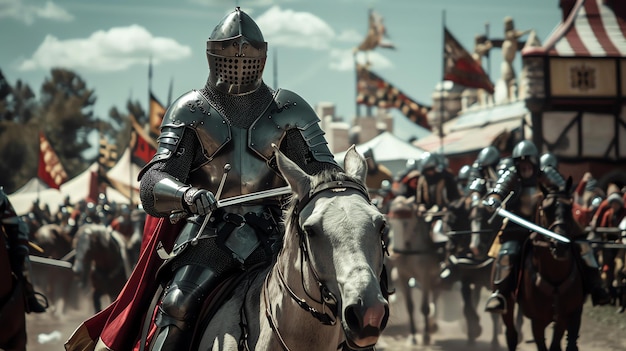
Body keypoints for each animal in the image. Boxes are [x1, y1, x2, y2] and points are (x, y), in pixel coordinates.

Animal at [382, 195, 442, 346]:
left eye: (406, 223)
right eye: (390, 224)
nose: (394, 254)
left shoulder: (424, 276)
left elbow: (424, 308)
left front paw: (425, 337)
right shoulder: (402, 276)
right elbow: (410, 307)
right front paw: (413, 337)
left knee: (436, 292)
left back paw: (432, 324)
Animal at [500, 179, 584, 351]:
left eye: (570, 207)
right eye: (546, 209)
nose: (560, 245)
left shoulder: (563, 318)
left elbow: (555, 344)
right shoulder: (537, 321)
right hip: (508, 305)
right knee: (511, 333)